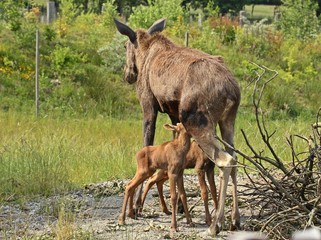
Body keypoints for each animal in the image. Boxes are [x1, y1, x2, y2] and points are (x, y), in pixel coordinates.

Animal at [114, 18, 239, 236]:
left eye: (125, 46)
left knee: (226, 160)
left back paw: (216, 223)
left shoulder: (148, 106)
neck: (146, 51)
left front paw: (137, 207)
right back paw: (234, 219)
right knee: (236, 157)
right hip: (227, 121)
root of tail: (232, 90)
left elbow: (147, 144)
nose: (128, 74)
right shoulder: (173, 115)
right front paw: (181, 207)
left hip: (197, 121)